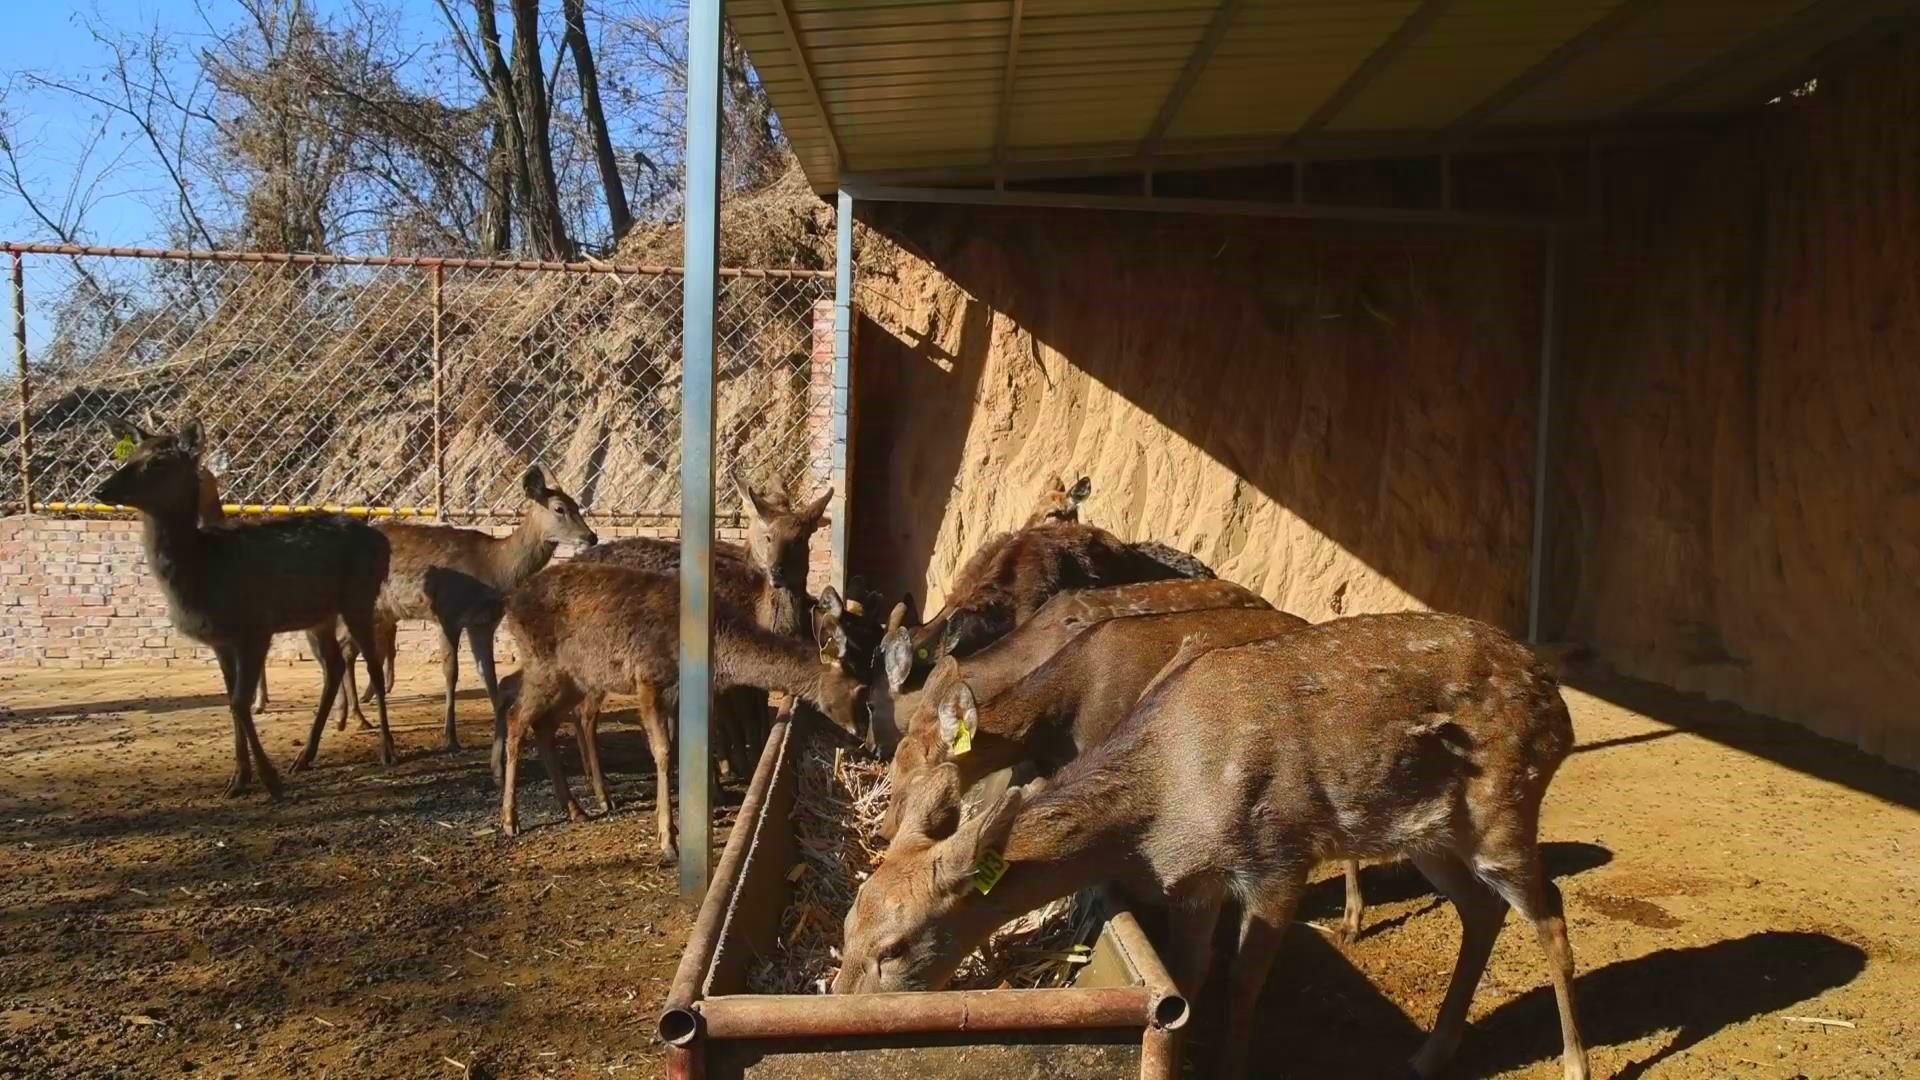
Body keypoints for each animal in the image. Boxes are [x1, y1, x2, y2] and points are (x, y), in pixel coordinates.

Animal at [94, 417, 393, 795]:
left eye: (158, 461)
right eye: (131, 454)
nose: (100, 490)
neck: (204, 571)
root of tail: (382, 540)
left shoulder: (256, 628)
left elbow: (239, 701)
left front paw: (269, 781)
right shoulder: (220, 640)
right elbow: (231, 701)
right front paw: (239, 779)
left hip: (359, 597)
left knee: (372, 662)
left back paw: (386, 749)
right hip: (319, 616)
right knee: (335, 665)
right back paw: (304, 757)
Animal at [318, 463, 595, 772]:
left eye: (577, 504)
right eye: (559, 508)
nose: (591, 537)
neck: (494, 569)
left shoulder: (484, 623)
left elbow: (489, 676)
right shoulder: (447, 614)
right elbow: (452, 673)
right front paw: (450, 737)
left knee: (345, 649)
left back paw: (350, 717)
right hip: (369, 608)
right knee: (347, 650)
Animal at [503, 557, 871, 853]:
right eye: (861, 690)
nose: (862, 735)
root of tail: (511, 603)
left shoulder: (679, 694)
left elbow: (685, 745)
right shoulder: (649, 679)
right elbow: (664, 751)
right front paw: (668, 839)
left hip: (576, 677)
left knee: (546, 724)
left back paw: (576, 808)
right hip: (544, 666)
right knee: (516, 717)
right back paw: (510, 820)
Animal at [837, 611, 1589, 1076]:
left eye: (894, 946)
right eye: (847, 923)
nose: (842, 999)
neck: (1167, 807)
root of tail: (1561, 708)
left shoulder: (1278, 859)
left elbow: (1242, 984)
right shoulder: (1193, 880)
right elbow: (1189, 976)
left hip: (1506, 805)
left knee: (1550, 911)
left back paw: (1575, 1062)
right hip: (1428, 832)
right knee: (1482, 910)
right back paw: (1431, 1053)